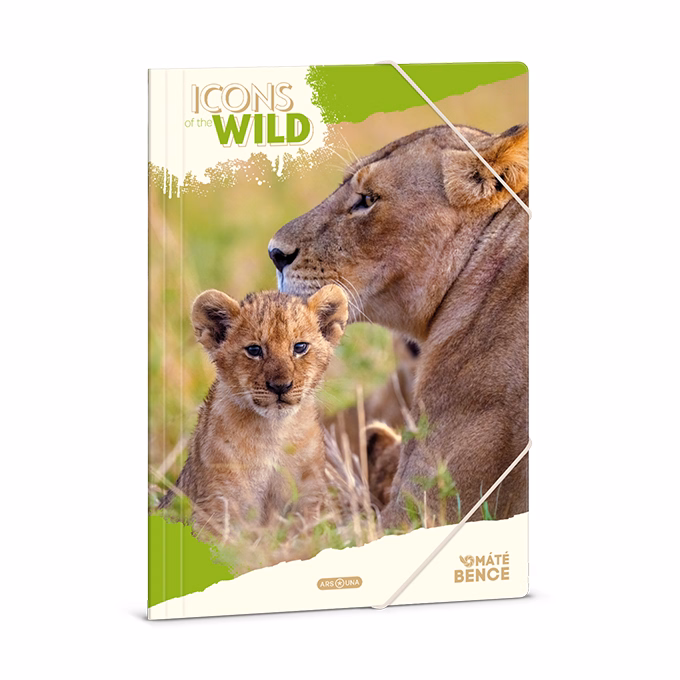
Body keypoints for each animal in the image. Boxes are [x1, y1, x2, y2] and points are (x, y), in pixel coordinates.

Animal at [158, 285, 349, 538]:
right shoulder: (216, 505)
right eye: (254, 350)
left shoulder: (309, 499)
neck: (273, 433)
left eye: (300, 347)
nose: (280, 386)